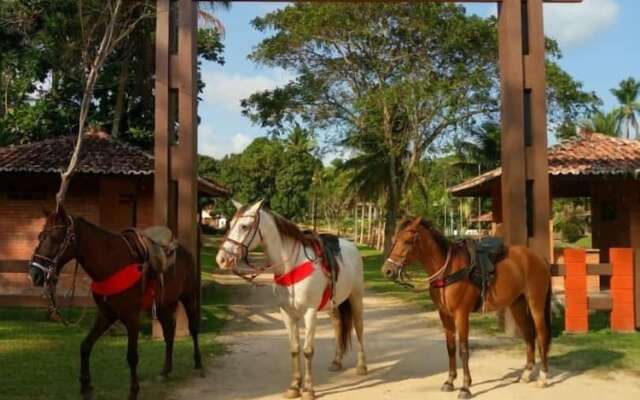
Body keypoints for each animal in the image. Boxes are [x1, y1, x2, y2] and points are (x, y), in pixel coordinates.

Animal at [30, 206, 202, 400]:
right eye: (40, 236)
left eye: (55, 238)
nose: (35, 274)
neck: (111, 264)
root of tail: (182, 248)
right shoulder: (106, 315)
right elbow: (85, 346)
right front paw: (86, 387)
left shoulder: (131, 318)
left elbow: (132, 356)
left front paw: (133, 391)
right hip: (164, 305)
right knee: (169, 333)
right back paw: (165, 371)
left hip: (188, 298)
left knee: (193, 328)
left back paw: (198, 364)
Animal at [215, 200, 364, 400]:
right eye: (229, 224)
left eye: (244, 226)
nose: (222, 259)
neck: (292, 266)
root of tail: (351, 246)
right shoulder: (287, 313)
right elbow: (294, 349)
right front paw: (294, 387)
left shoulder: (310, 313)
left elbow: (308, 351)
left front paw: (308, 389)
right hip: (334, 305)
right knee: (338, 326)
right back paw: (336, 361)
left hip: (356, 297)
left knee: (359, 328)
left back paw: (362, 366)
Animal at [380, 217, 552, 398]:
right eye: (394, 240)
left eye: (407, 241)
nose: (387, 270)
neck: (447, 271)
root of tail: (539, 258)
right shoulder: (445, 315)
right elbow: (450, 348)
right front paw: (449, 382)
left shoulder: (461, 314)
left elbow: (463, 350)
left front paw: (465, 387)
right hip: (517, 304)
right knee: (529, 335)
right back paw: (527, 373)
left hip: (536, 303)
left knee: (542, 335)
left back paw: (543, 377)